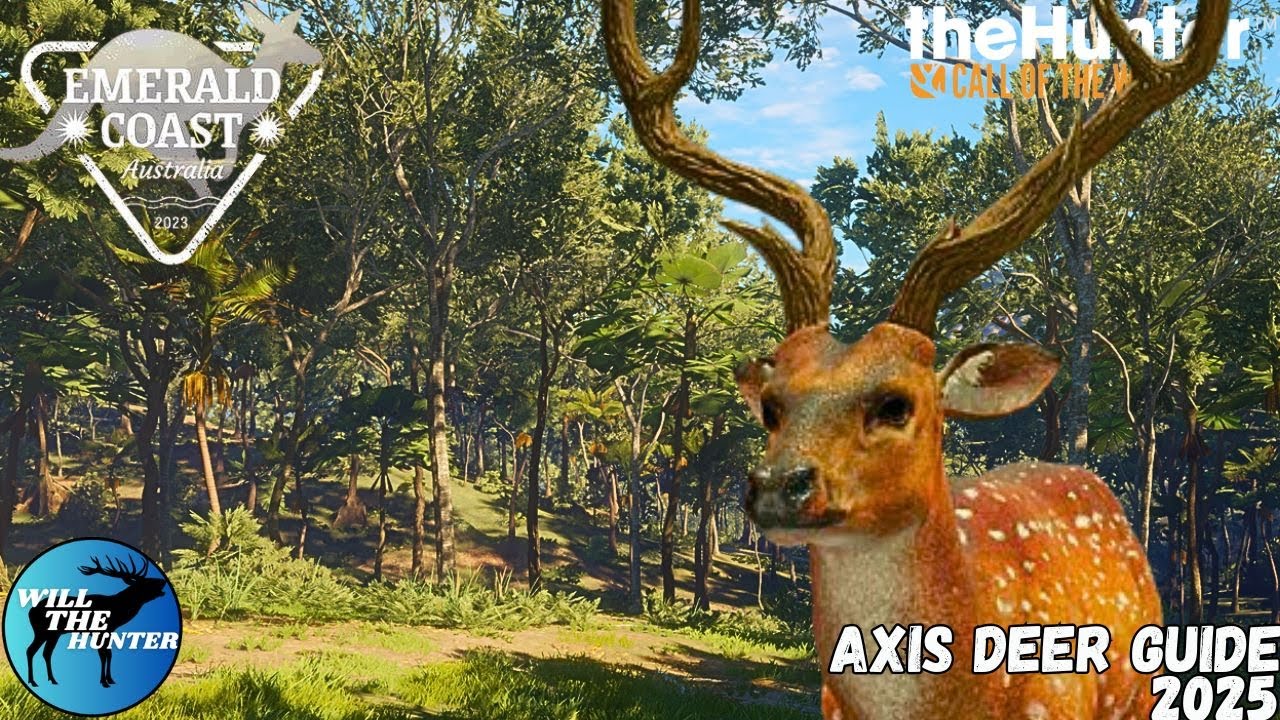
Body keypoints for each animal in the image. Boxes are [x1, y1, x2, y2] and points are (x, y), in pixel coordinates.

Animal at [0, 3, 321, 198]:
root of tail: (94, 69)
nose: (318, 56)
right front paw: (222, 170)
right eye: (298, 42)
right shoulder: (231, 115)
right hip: (144, 105)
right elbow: (230, 148)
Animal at [26, 554, 170, 689]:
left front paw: (110, 679)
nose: (162, 580)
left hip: (54, 634)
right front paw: (104, 681)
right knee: (30, 650)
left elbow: (109, 654)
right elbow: (103, 655)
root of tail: (30, 611)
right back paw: (33, 681)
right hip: (41, 631)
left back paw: (52, 680)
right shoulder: (98, 631)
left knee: (46, 653)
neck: (116, 610)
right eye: (147, 582)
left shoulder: (109, 632)